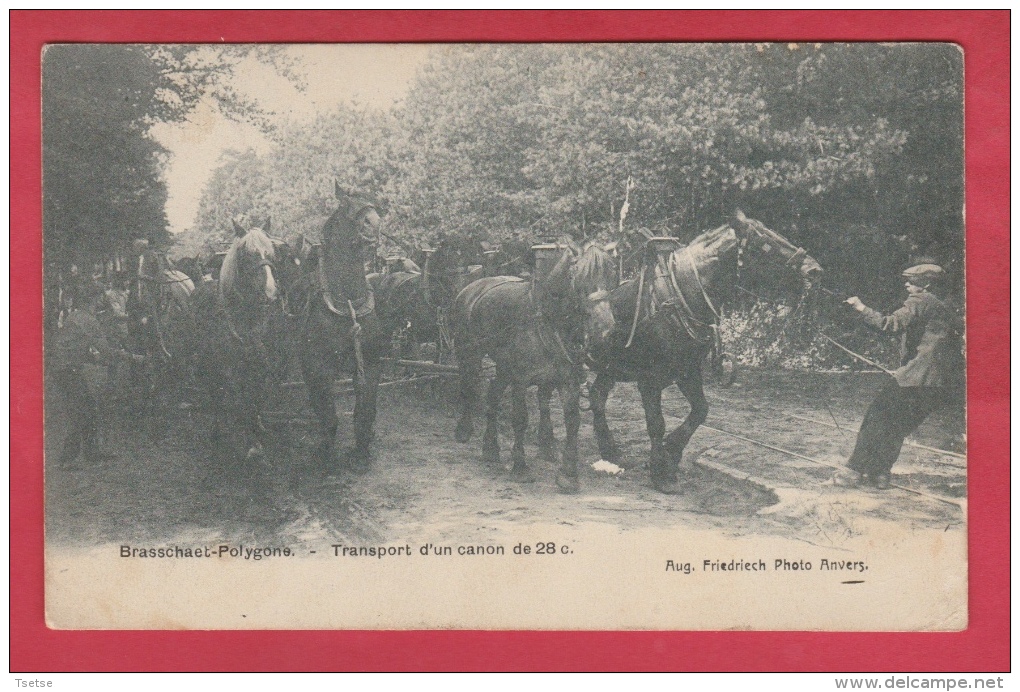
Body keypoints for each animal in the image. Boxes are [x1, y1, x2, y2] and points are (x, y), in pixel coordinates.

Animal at [190, 219, 287, 463]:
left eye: (271, 251)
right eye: (247, 253)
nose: (271, 292)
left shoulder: (261, 366)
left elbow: (257, 398)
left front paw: (257, 429)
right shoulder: (232, 370)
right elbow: (242, 402)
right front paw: (252, 444)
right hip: (207, 364)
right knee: (215, 393)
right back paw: (216, 428)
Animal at [297, 181, 385, 473]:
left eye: (375, 204)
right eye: (347, 205)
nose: (373, 224)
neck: (346, 302)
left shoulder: (370, 363)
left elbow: (365, 410)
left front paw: (361, 451)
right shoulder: (317, 367)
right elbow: (328, 415)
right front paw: (324, 454)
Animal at [452, 238, 616, 493]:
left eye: (611, 275)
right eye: (579, 278)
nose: (605, 330)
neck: (547, 321)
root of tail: (471, 288)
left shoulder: (567, 380)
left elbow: (572, 420)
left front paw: (568, 475)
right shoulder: (520, 378)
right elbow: (520, 419)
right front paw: (520, 467)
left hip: (504, 366)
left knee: (493, 394)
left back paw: (490, 448)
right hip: (469, 355)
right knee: (469, 387)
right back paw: (464, 429)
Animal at [587, 210, 824, 493]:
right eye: (764, 242)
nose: (814, 270)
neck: (674, 299)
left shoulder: (688, 371)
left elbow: (700, 411)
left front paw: (671, 455)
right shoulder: (649, 380)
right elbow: (656, 423)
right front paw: (659, 471)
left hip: (608, 368)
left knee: (597, 396)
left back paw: (610, 452)